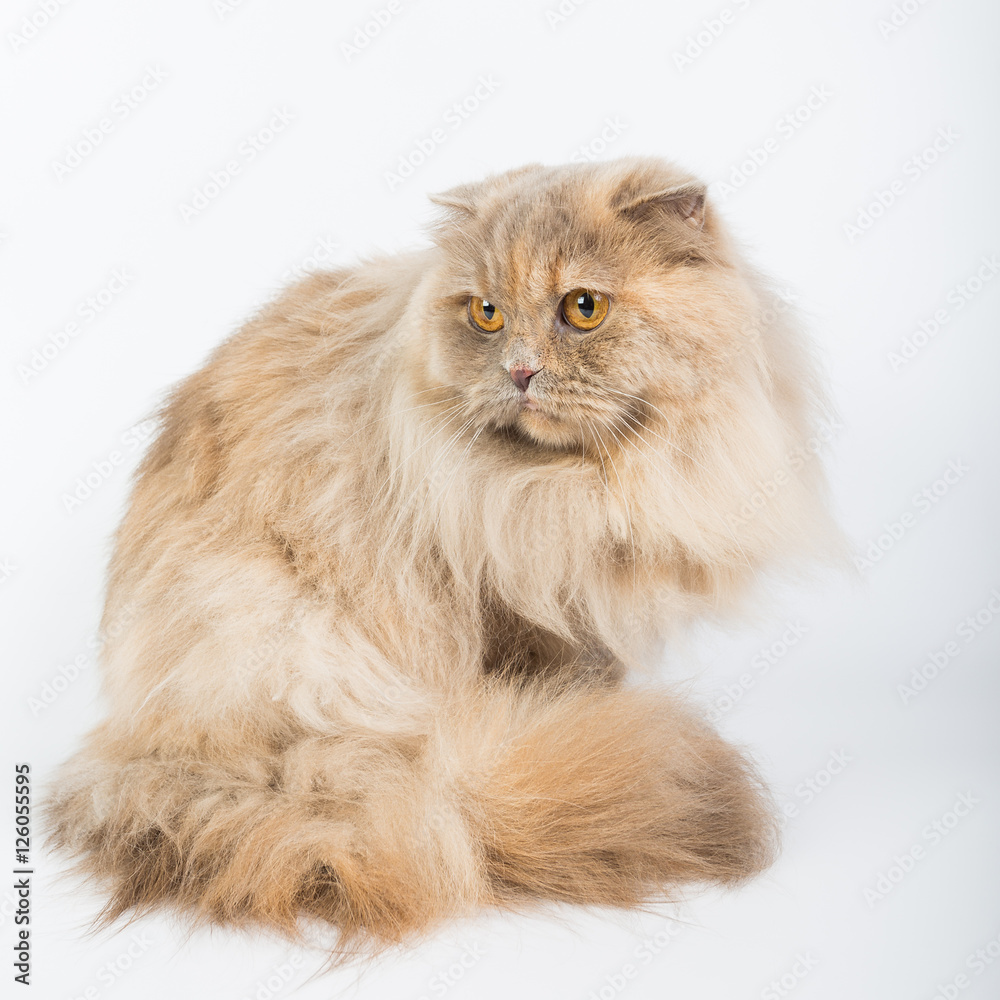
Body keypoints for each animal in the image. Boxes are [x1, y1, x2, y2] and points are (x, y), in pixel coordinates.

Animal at [47, 154, 836, 952]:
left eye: (583, 308)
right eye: (486, 314)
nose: (520, 372)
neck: (566, 490)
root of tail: (148, 746)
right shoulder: (511, 609)